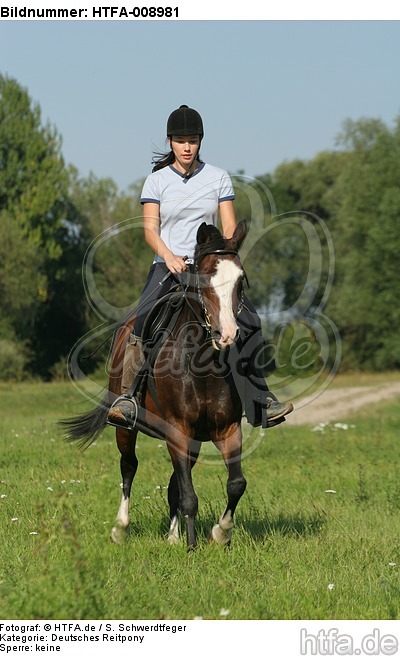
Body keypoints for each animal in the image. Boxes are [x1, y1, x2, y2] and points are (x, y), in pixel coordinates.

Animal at [61, 219, 249, 549]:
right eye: (203, 280)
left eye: (240, 280)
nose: (227, 334)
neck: (202, 365)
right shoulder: (178, 429)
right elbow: (189, 496)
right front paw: (192, 547)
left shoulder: (226, 429)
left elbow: (235, 483)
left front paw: (219, 532)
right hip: (126, 428)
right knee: (129, 467)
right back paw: (120, 528)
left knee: (175, 479)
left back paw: (172, 535)